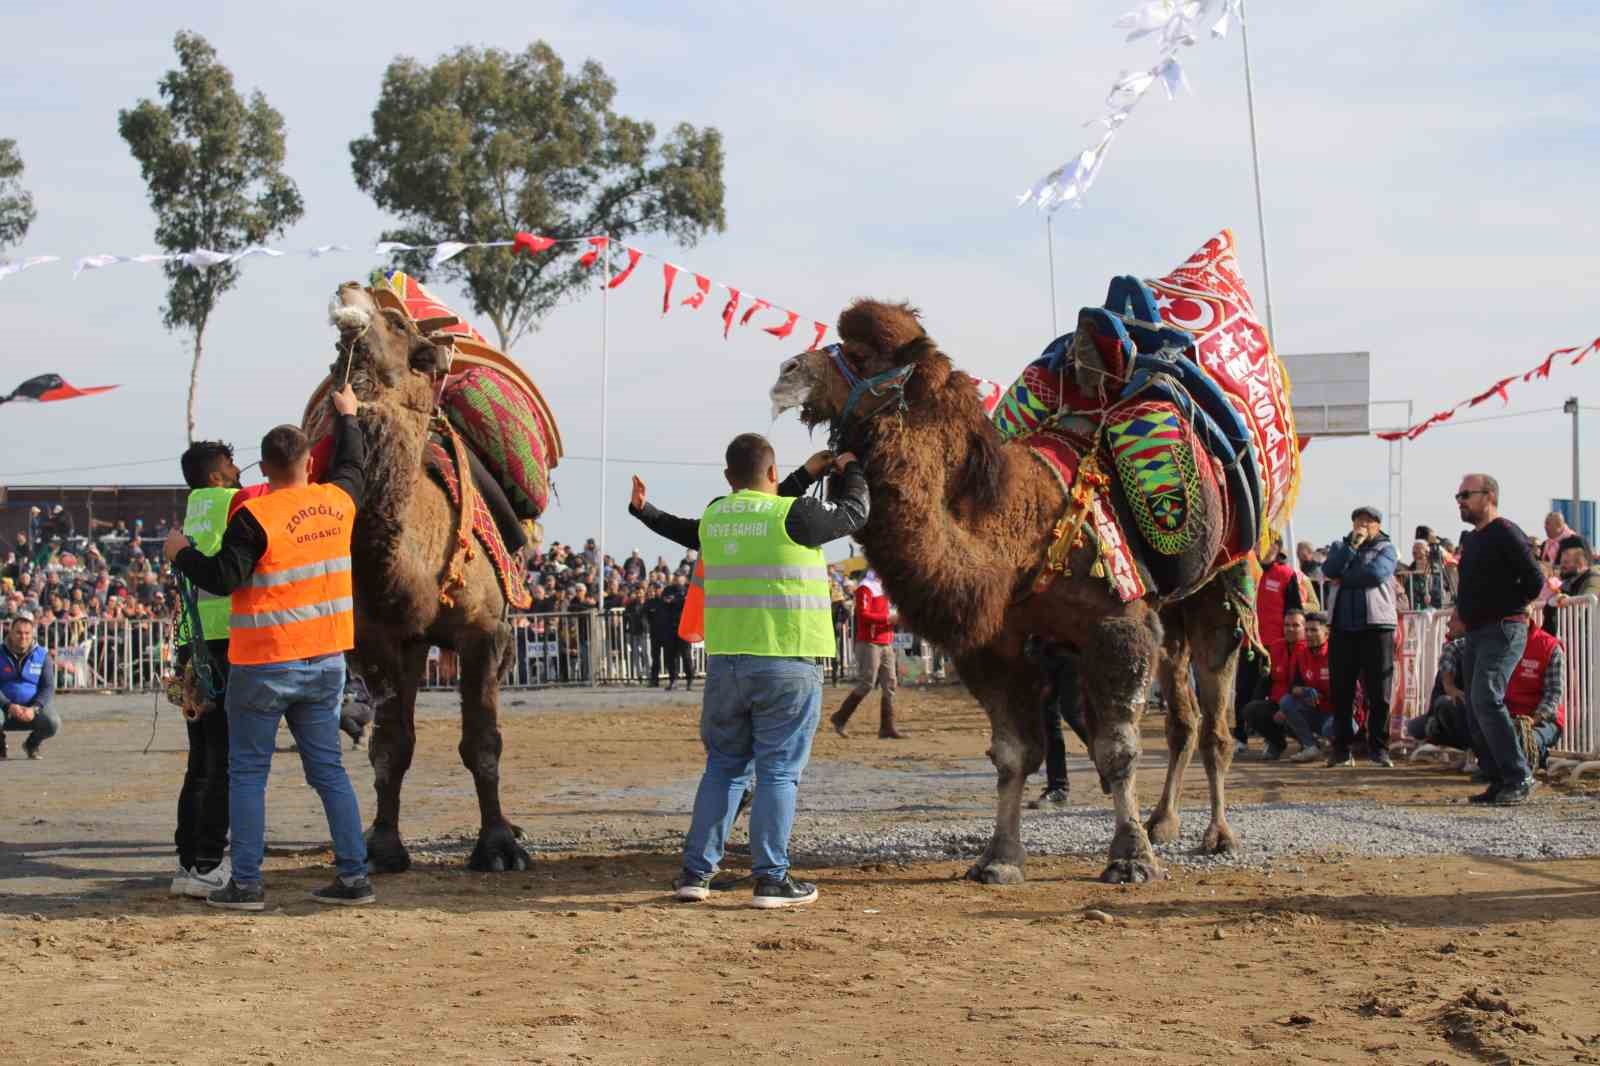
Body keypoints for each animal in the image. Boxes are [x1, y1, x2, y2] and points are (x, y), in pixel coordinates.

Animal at [316, 281, 524, 870]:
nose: (349, 288)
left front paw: (498, 846)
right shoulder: (383, 638)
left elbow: (483, 741)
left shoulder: (483, 632)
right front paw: (382, 847)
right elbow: (391, 745)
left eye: (398, 325)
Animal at [774, 299, 1248, 877]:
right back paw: (1164, 821)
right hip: (1170, 617)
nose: (787, 371)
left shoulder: (1120, 623)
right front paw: (998, 859)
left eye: (862, 354)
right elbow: (1013, 752)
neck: (1022, 531)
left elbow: (1118, 748)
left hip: (1218, 590)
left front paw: (1132, 858)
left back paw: (1218, 834)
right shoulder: (993, 642)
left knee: (1215, 722)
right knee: (1183, 718)